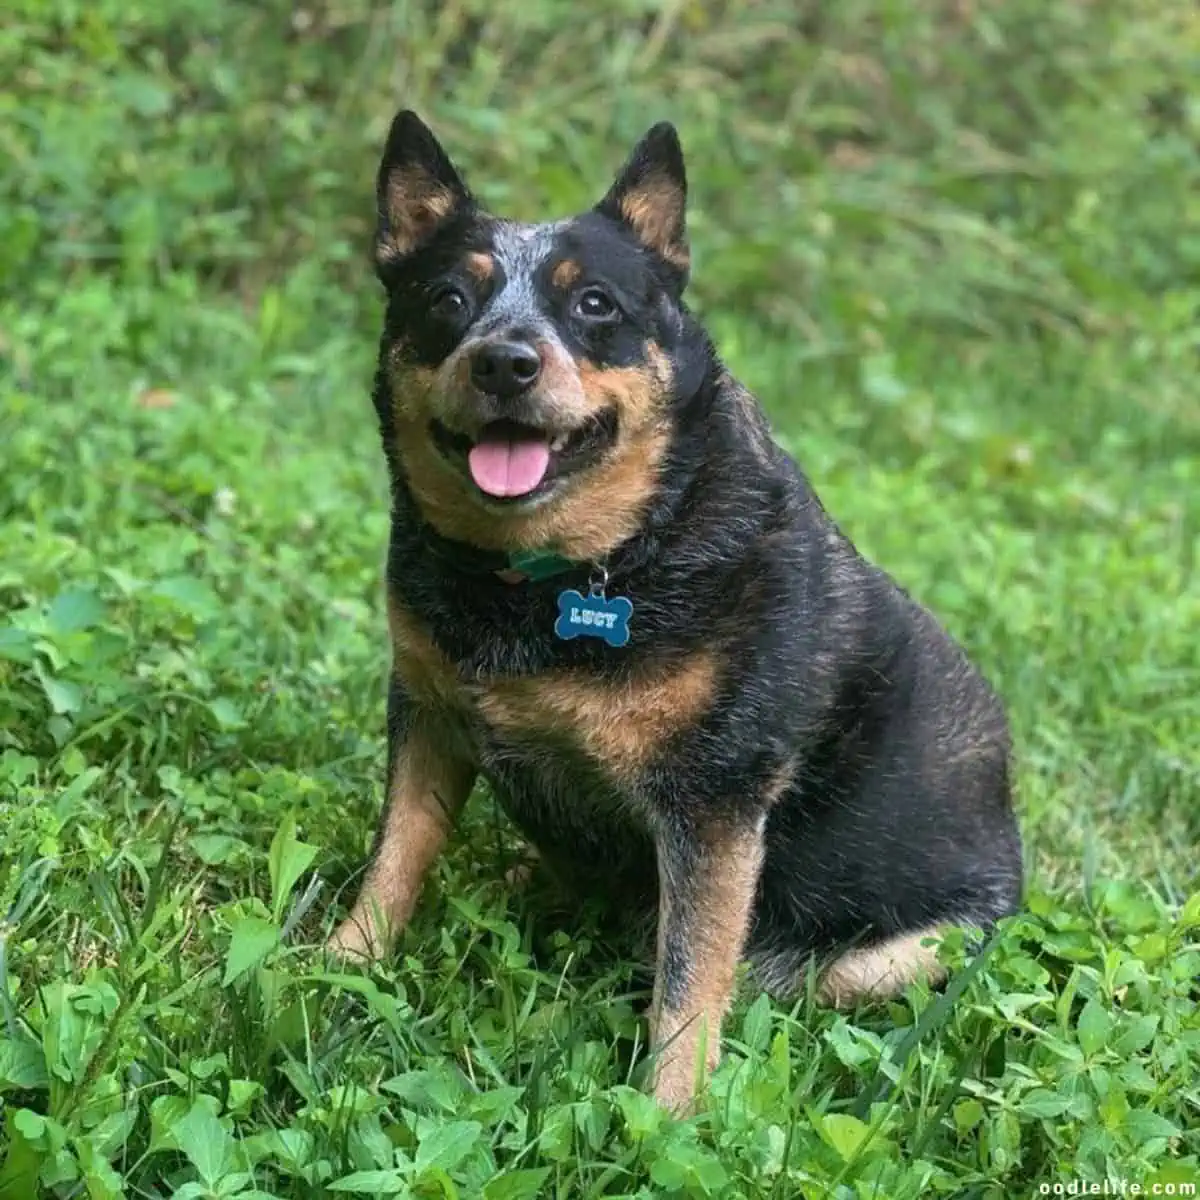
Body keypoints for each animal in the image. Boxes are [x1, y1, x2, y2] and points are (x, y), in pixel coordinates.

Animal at [328, 108, 1022, 1108]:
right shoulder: (425, 709)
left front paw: (670, 1112)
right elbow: (396, 856)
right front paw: (338, 964)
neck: (560, 575)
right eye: (450, 298)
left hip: (890, 955)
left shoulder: (715, 797)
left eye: (595, 305)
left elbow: (691, 978)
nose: (505, 360)